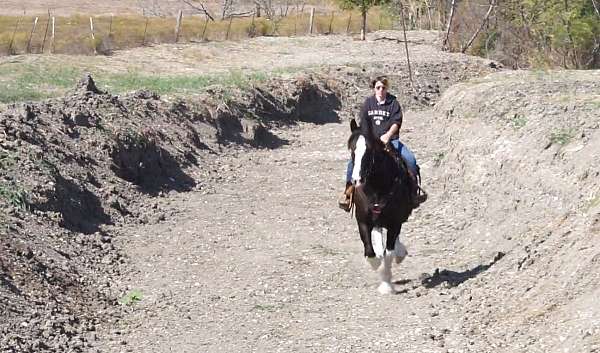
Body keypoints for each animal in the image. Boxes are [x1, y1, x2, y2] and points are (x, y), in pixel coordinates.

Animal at [344, 119, 414, 294]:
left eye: (369, 151)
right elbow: (371, 251)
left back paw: (399, 252)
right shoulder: (363, 221)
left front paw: (386, 285)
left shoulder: (395, 222)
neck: (377, 188)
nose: (356, 180)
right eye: (352, 149)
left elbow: (388, 252)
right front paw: (378, 267)